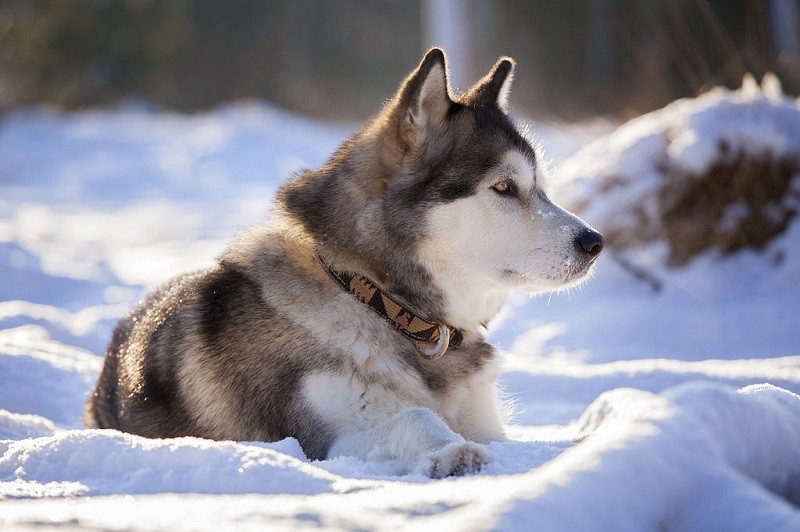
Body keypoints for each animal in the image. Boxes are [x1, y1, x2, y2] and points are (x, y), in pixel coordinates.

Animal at [85, 48, 604, 478]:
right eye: (503, 187)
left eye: (541, 189)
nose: (595, 242)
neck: (379, 301)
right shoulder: (317, 442)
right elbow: (412, 416)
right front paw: (452, 450)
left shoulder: (489, 422)